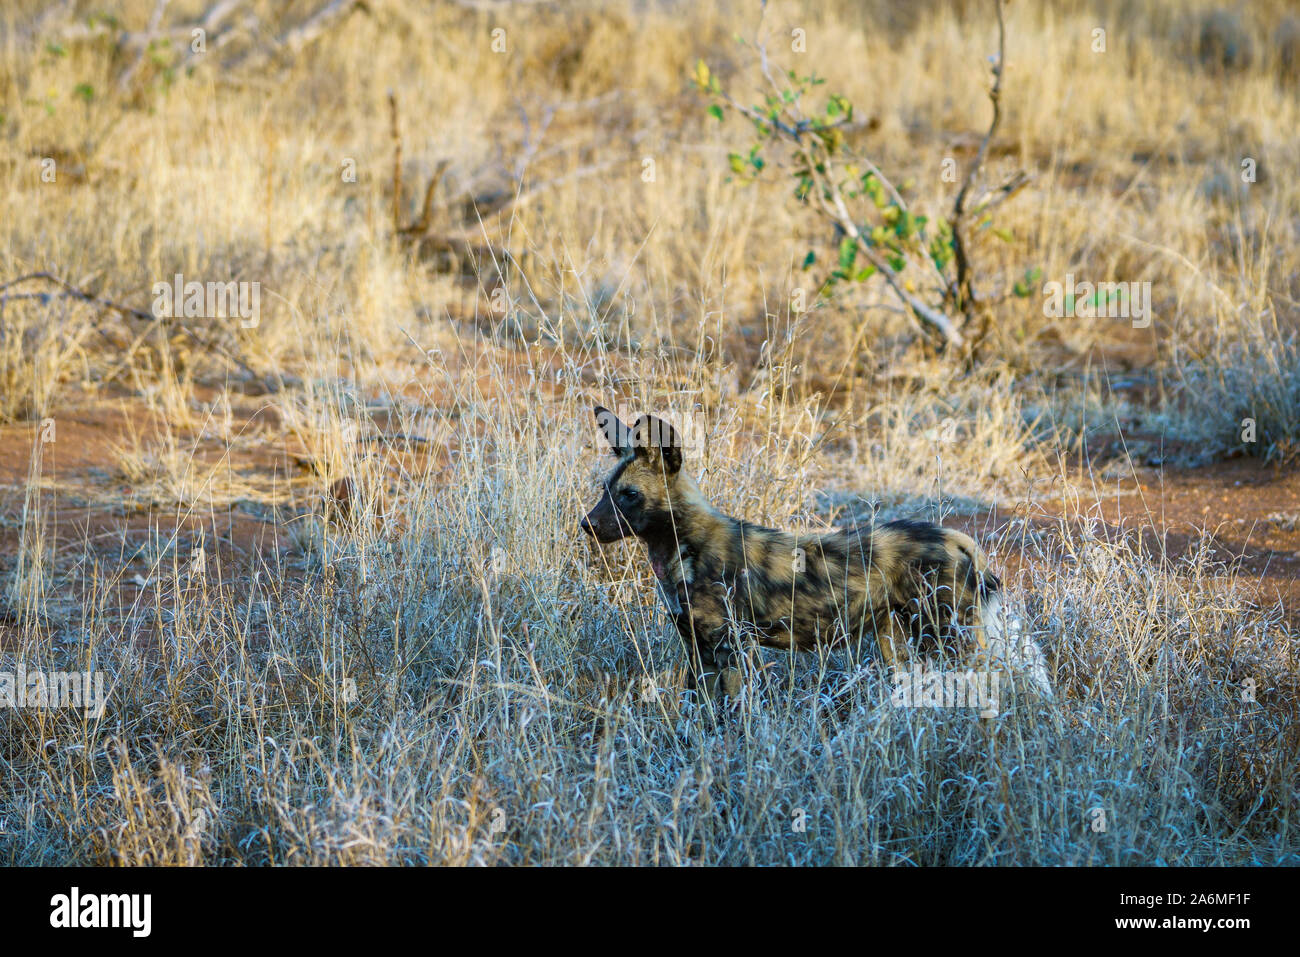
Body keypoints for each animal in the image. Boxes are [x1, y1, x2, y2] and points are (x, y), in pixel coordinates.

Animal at [585, 403, 1050, 702]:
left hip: (954, 638)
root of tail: (954, 535)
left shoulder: (729, 647)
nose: (586, 524)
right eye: (607, 490)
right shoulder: (697, 649)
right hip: (900, 640)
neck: (682, 546)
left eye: (629, 495)